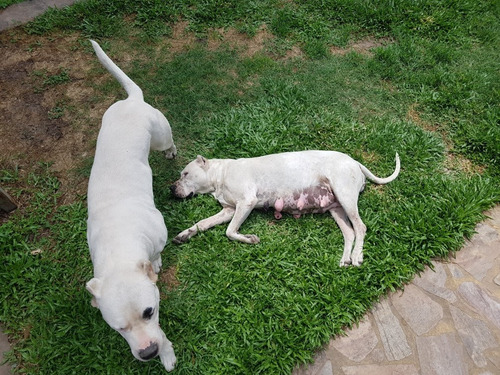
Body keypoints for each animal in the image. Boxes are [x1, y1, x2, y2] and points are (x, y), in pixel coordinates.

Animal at [86, 40, 178, 374]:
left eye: (149, 312)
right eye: (118, 328)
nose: (148, 352)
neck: (120, 244)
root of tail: (131, 100)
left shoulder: (159, 235)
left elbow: (157, 254)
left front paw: (157, 262)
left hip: (160, 135)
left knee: (167, 143)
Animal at [170, 151, 400, 268]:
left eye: (185, 174)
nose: (171, 188)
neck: (220, 175)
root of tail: (355, 162)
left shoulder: (246, 202)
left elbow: (229, 231)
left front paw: (249, 239)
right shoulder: (228, 210)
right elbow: (202, 223)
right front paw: (184, 234)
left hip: (345, 195)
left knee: (360, 227)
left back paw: (357, 256)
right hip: (337, 208)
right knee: (350, 232)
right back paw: (345, 258)